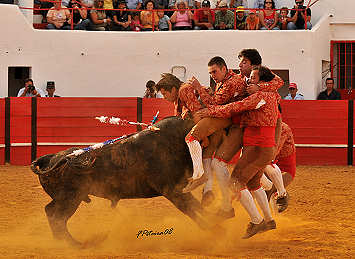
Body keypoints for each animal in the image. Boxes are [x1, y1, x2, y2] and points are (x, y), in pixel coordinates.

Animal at [31, 117, 220, 247]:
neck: (175, 141)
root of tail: (51, 158)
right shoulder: (173, 190)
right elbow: (194, 209)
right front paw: (216, 231)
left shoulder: (178, 191)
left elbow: (197, 209)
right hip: (70, 198)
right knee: (57, 217)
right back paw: (72, 244)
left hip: (66, 198)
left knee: (51, 212)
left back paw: (65, 242)